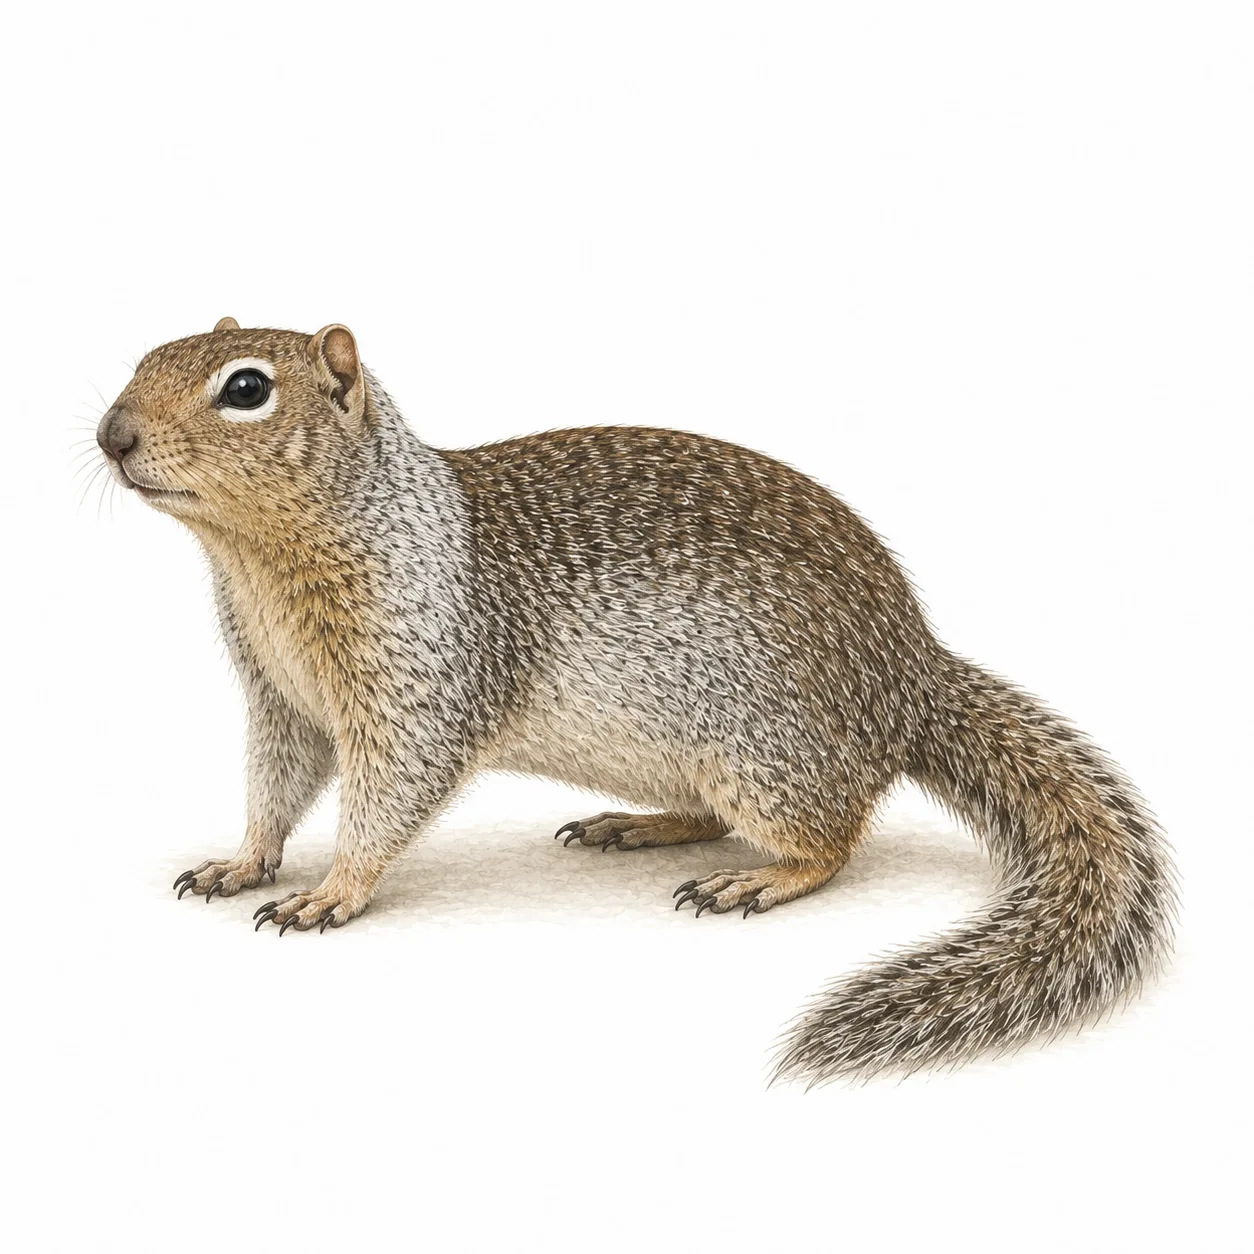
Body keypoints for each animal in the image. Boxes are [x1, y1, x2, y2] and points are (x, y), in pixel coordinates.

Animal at [96, 317, 1178, 1083]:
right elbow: (275, 782)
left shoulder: (421, 676)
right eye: (144, 356)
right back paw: (638, 826)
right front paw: (244, 862)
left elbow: (393, 789)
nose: (112, 435)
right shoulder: (278, 695)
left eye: (246, 388)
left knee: (831, 841)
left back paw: (755, 880)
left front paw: (332, 890)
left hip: (765, 754)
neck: (260, 563)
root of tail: (912, 677)